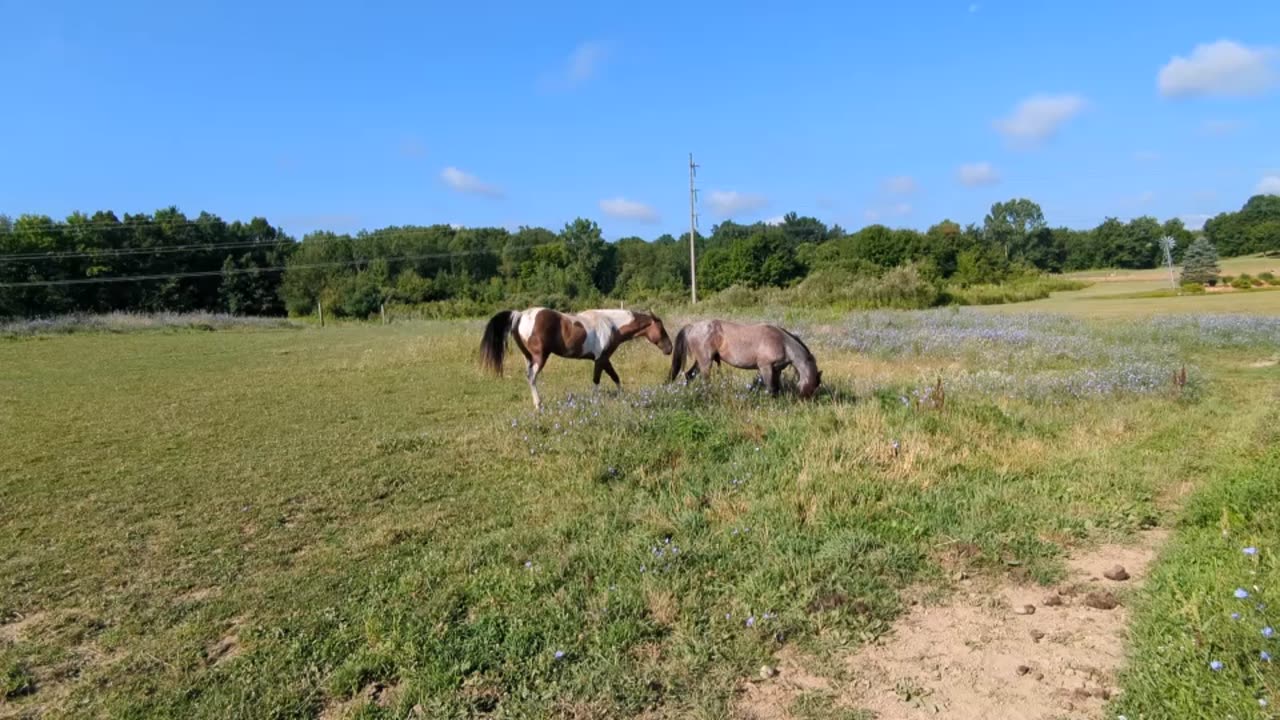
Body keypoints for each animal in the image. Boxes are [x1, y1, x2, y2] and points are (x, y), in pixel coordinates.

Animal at [481, 304, 675, 409]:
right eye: (661, 329)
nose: (669, 349)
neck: (611, 325)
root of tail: (520, 315)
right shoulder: (600, 359)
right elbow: (598, 381)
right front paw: (597, 401)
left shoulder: (604, 359)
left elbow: (615, 377)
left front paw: (622, 396)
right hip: (539, 358)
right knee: (532, 377)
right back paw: (538, 404)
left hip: (528, 358)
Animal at [665, 319, 824, 397]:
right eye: (813, 386)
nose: (804, 401)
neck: (782, 342)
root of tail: (692, 327)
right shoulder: (765, 367)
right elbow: (771, 388)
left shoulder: (777, 370)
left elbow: (776, 388)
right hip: (705, 363)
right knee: (705, 381)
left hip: (700, 362)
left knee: (689, 375)